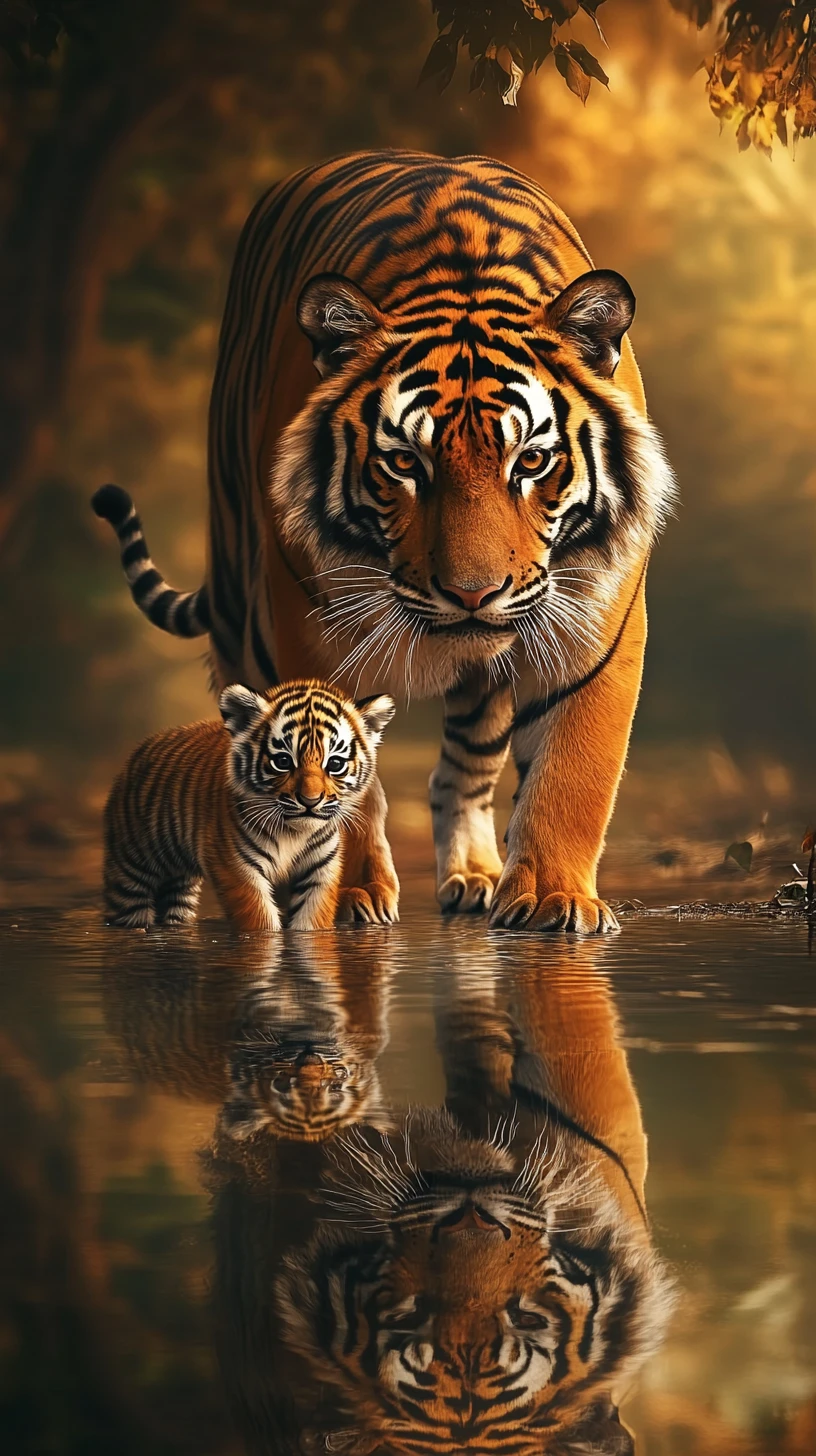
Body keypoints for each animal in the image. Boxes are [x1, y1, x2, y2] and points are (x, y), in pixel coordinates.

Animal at [102, 678, 394, 931]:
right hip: (131, 869)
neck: (294, 832)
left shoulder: (320, 870)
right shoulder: (236, 867)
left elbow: (312, 917)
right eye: (283, 761)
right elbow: (259, 918)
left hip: (179, 888)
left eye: (334, 764)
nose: (310, 801)